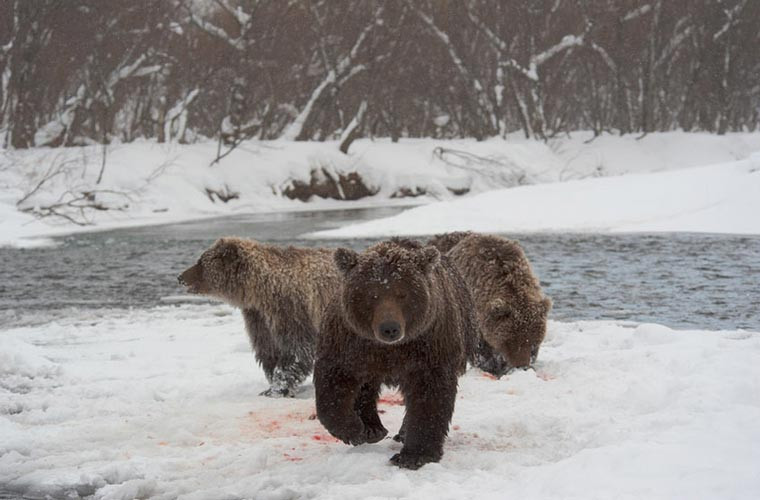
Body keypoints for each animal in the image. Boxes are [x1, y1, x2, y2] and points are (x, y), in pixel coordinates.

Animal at [178, 236, 338, 396]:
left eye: (201, 261)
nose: (180, 277)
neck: (260, 291)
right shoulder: (257, 315)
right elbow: (267, 347)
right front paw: (271, 384)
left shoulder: (290, 308)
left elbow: (298, 347)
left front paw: (278, 388)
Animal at [314, 238, 476, 468]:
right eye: (372, 294)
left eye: (402, 293)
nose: (389, 328)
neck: (390, 349)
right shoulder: (350, 341)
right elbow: (334, 382)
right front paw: (354, 429)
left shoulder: (428, 346)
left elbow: (430, 395)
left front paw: (413, 455)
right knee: (366, 385)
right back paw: (373, 429)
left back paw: (401, 432)